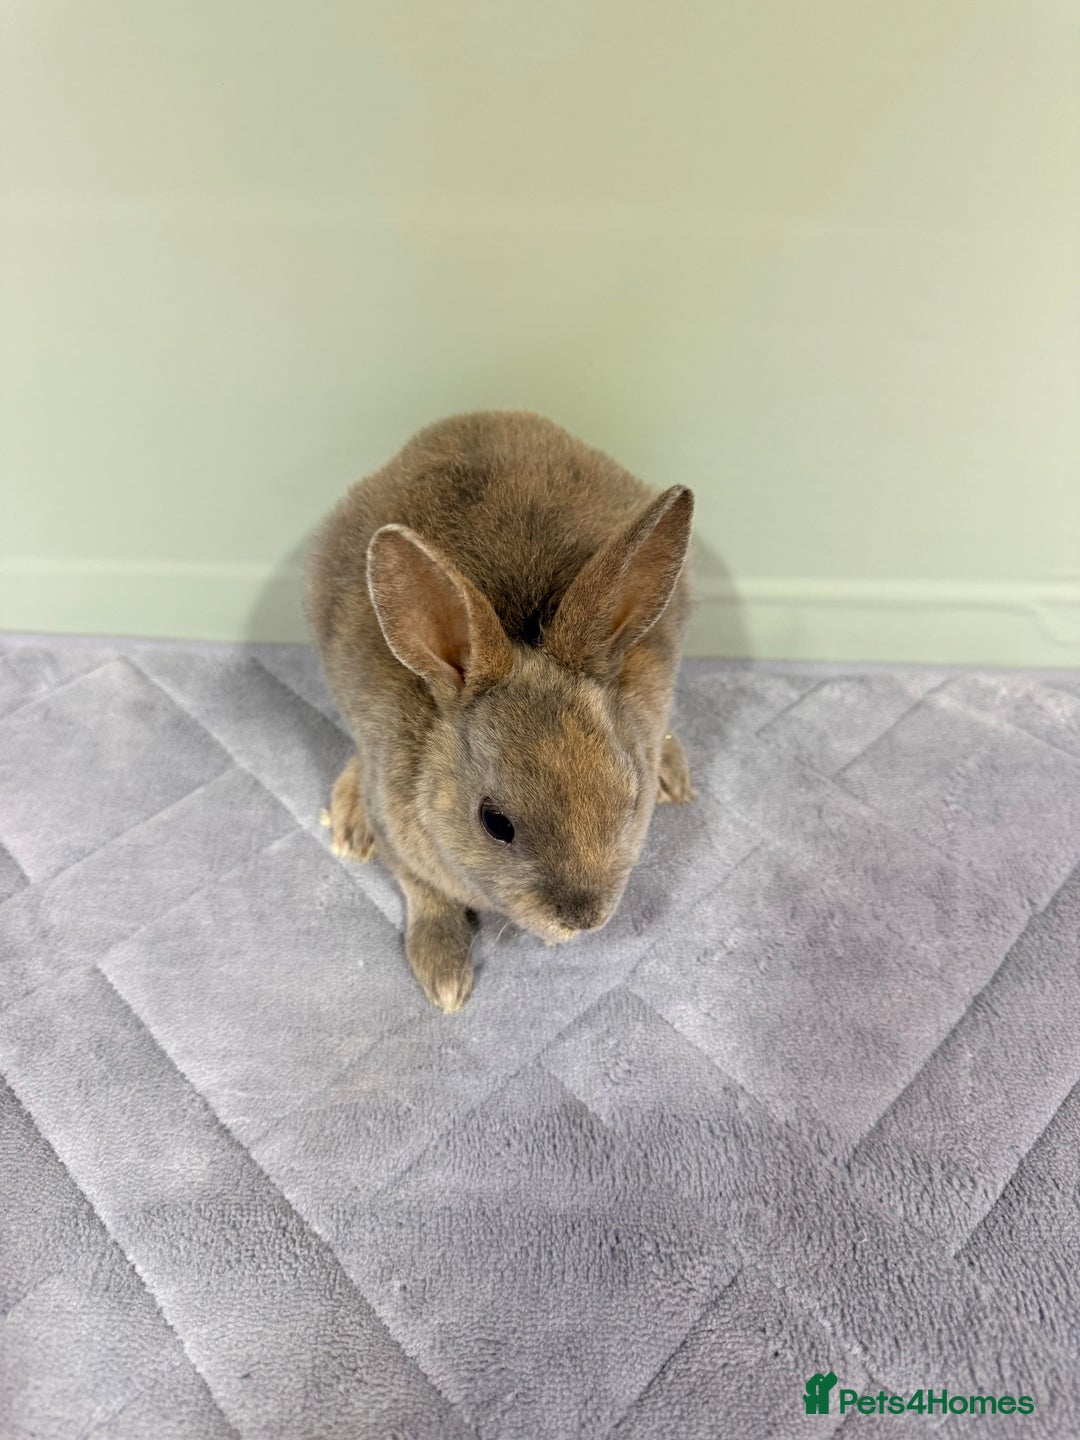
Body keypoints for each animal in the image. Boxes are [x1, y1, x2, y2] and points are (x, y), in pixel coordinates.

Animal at [305, 409, 695, 1012]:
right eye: (496, 824)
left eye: (632, 798)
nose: (582, 919)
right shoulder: (403, 844)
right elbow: (428, 898)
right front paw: (444, 979)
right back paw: (349, 824)